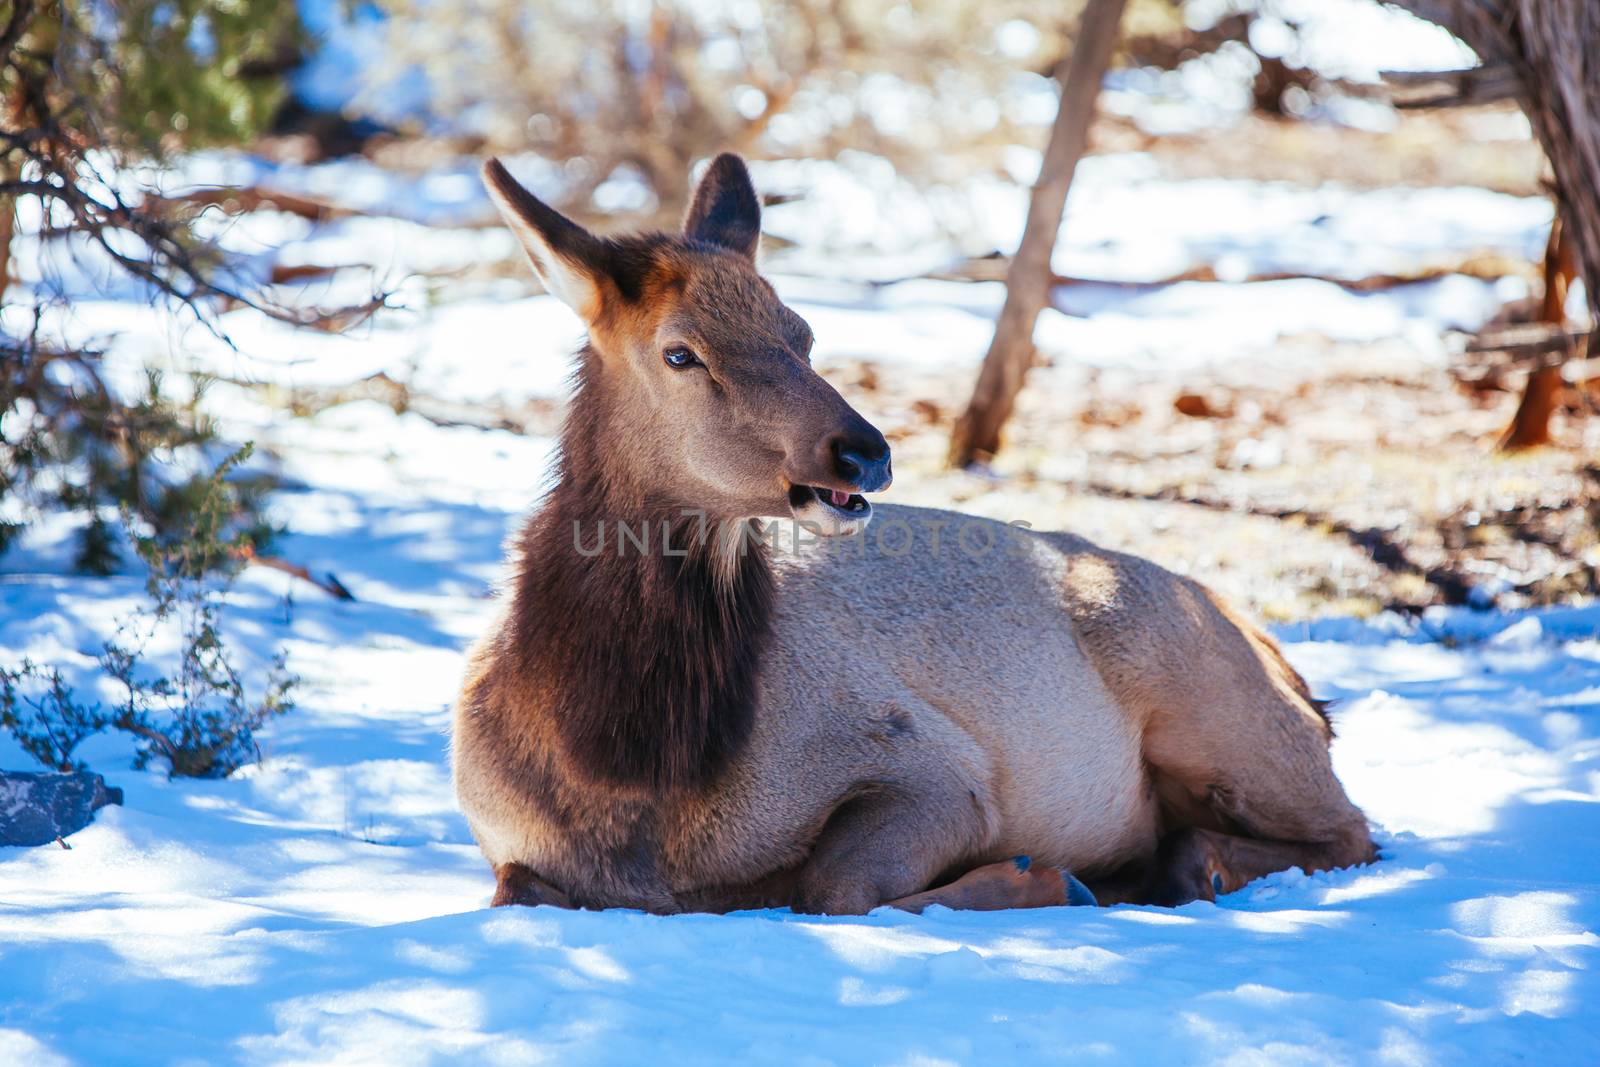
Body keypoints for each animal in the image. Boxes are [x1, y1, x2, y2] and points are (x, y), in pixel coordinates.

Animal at [454, 154, 1376, 915]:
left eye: (803, 334)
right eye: (680, 353)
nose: (864, 449)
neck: (633, 778)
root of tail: (1294, 675)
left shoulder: (935, 765)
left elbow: (833, 885)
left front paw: (1037, 876)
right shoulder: (509, 846)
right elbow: (517, 887)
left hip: (1222, 720)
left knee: (1351, 830)